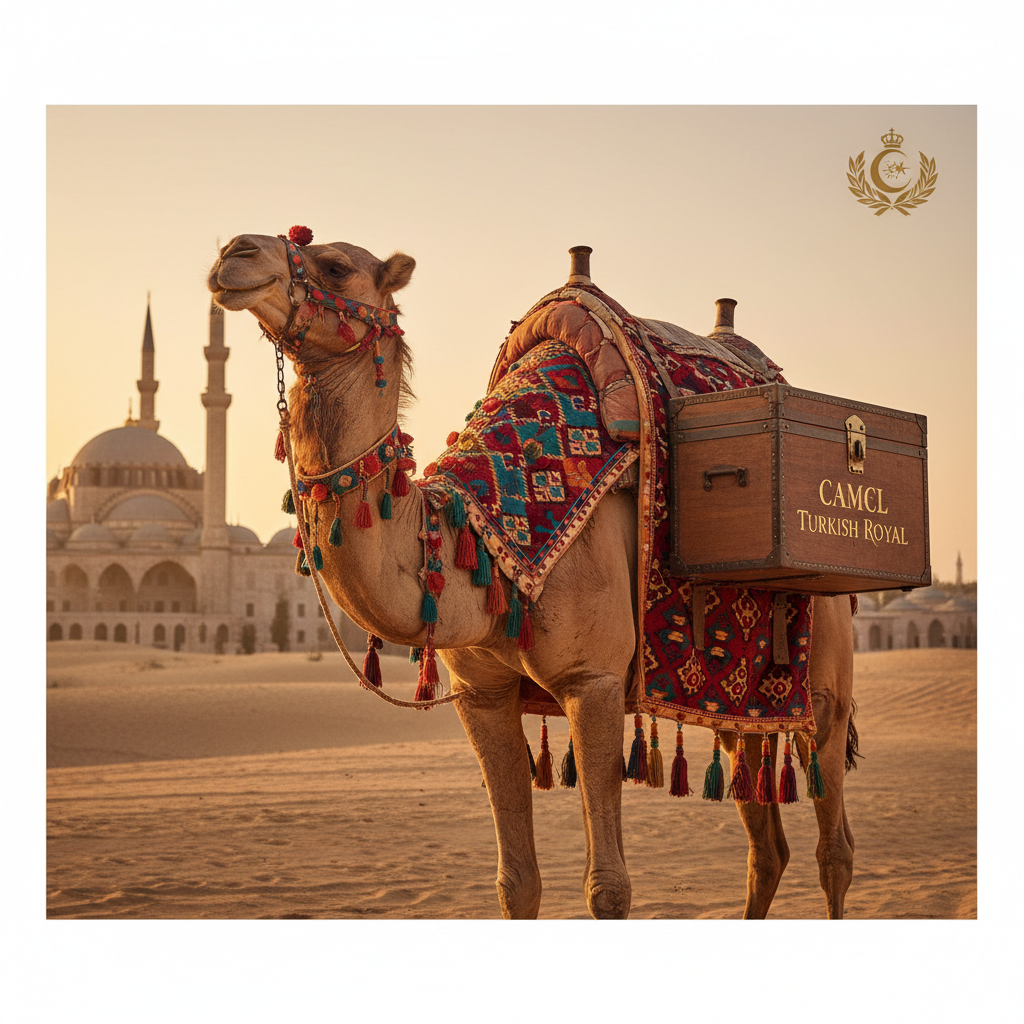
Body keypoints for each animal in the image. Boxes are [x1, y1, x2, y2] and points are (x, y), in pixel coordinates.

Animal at [207, 232, 856, 920]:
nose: (234, 253)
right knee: (767, 846)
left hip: (824, 686)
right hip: (740, 701)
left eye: (335, 265)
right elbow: (516, 881)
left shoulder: (592, 681)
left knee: (833, 847)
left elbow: (608, 888)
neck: (484, 543)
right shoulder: (481, 693)